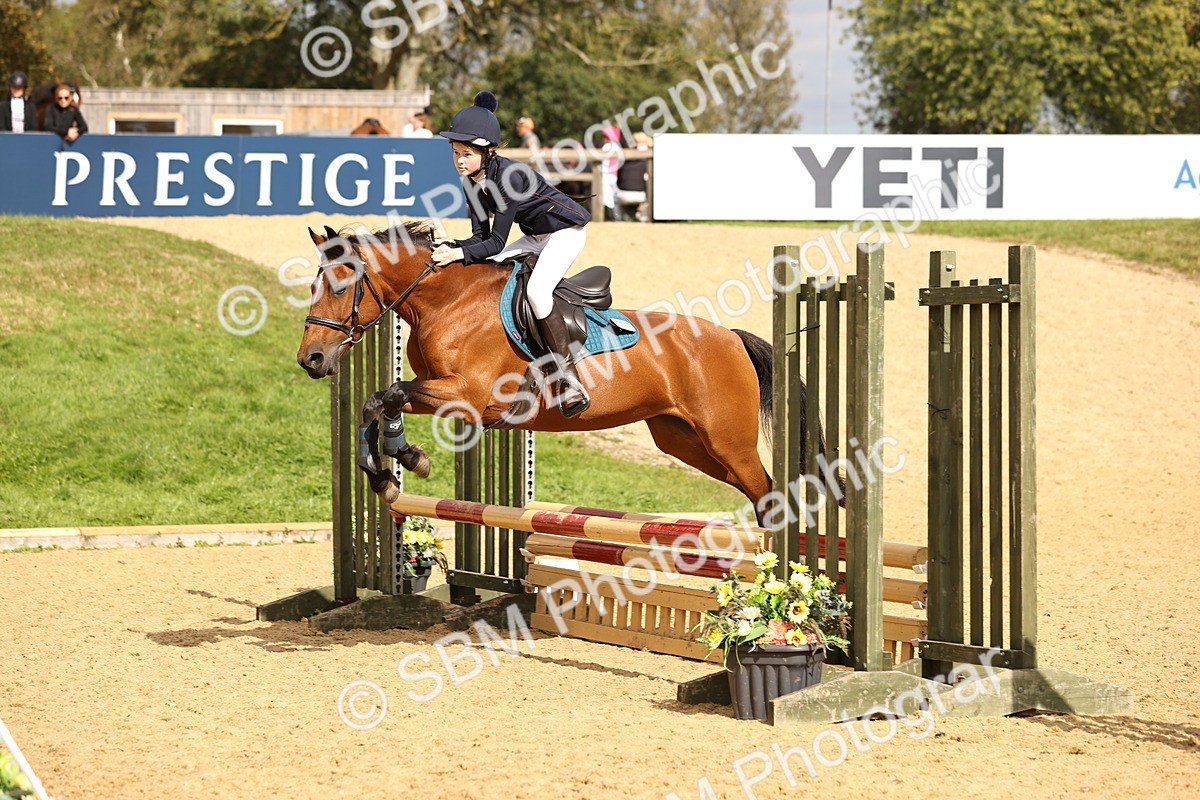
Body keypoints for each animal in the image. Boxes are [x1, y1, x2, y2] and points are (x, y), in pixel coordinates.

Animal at [296, 220, 817, 523]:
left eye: (340, 286)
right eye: (314, 285)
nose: (311, 359)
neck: (446, 303)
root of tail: (731, 337)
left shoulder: (467, 395)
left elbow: (389, 394)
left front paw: (407, 458)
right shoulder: (447, 396)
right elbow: (377, 402)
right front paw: (386, 473)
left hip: (728, 441)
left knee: (767, 493)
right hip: (686, 441)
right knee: (758, 492)